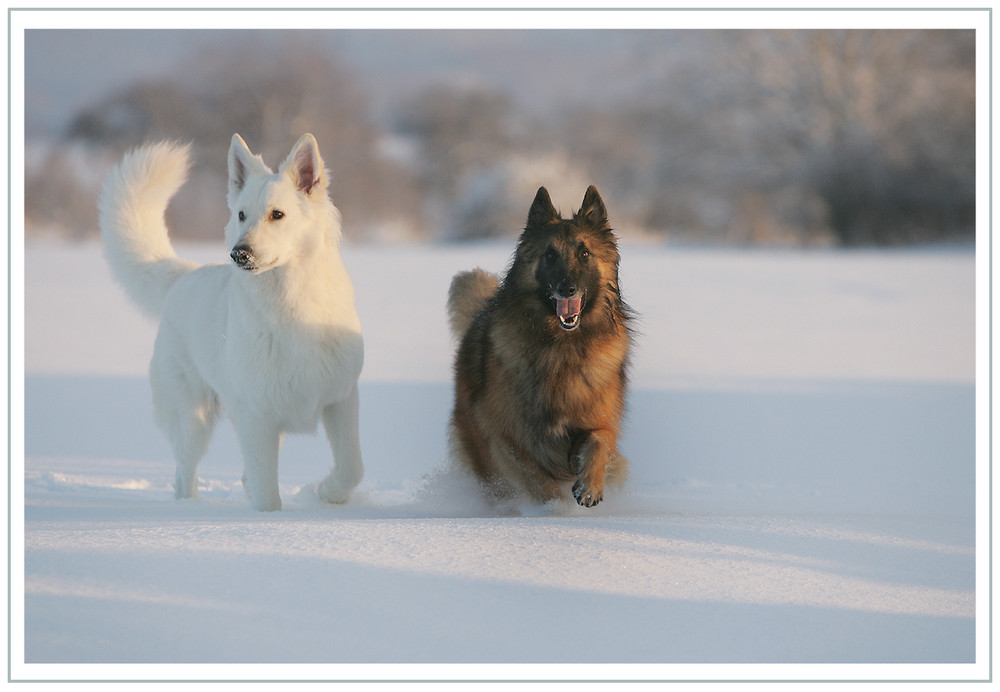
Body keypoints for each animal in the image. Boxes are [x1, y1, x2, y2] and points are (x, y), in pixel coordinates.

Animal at [99, 134, 366, 508]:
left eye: (277, 215)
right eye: (241, 215)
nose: (239, 254)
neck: (291, 306)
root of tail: (184, 277)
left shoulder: (340, 399)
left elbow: (352, 467)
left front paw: (328, 493)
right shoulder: (258, 418)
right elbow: (268, 498)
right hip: (192, 421)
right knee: (185, 475)